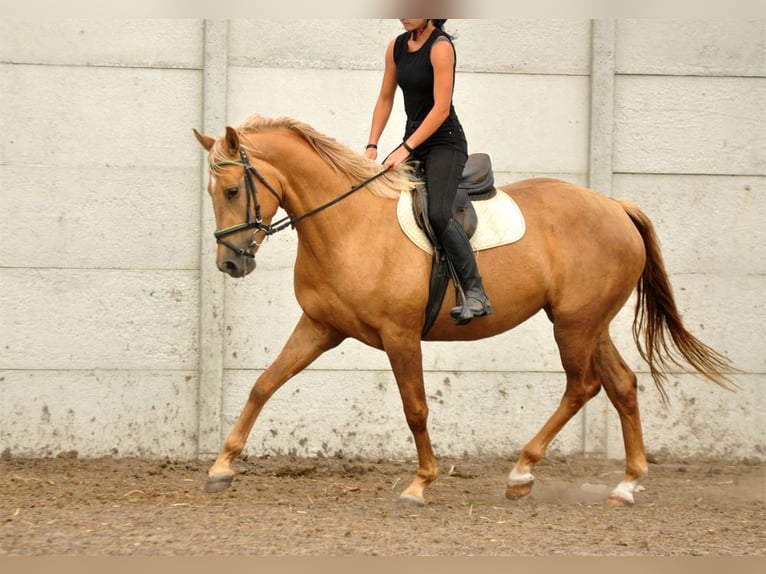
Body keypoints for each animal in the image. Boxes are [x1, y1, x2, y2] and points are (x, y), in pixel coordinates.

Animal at [192, 113, 736, 508]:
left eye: (234, 191)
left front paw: (420, 484)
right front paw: (221, 467)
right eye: (212, 192)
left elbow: (415, 408)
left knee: (583, 386)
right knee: (620, 384)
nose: (229, 263)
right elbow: (264, 384)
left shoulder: (399, 335)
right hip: (587, 323)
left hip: (574, 325)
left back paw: (522, 472)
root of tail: (615, 205)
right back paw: (625, 485)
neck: (348, 224)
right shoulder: (320, 327)